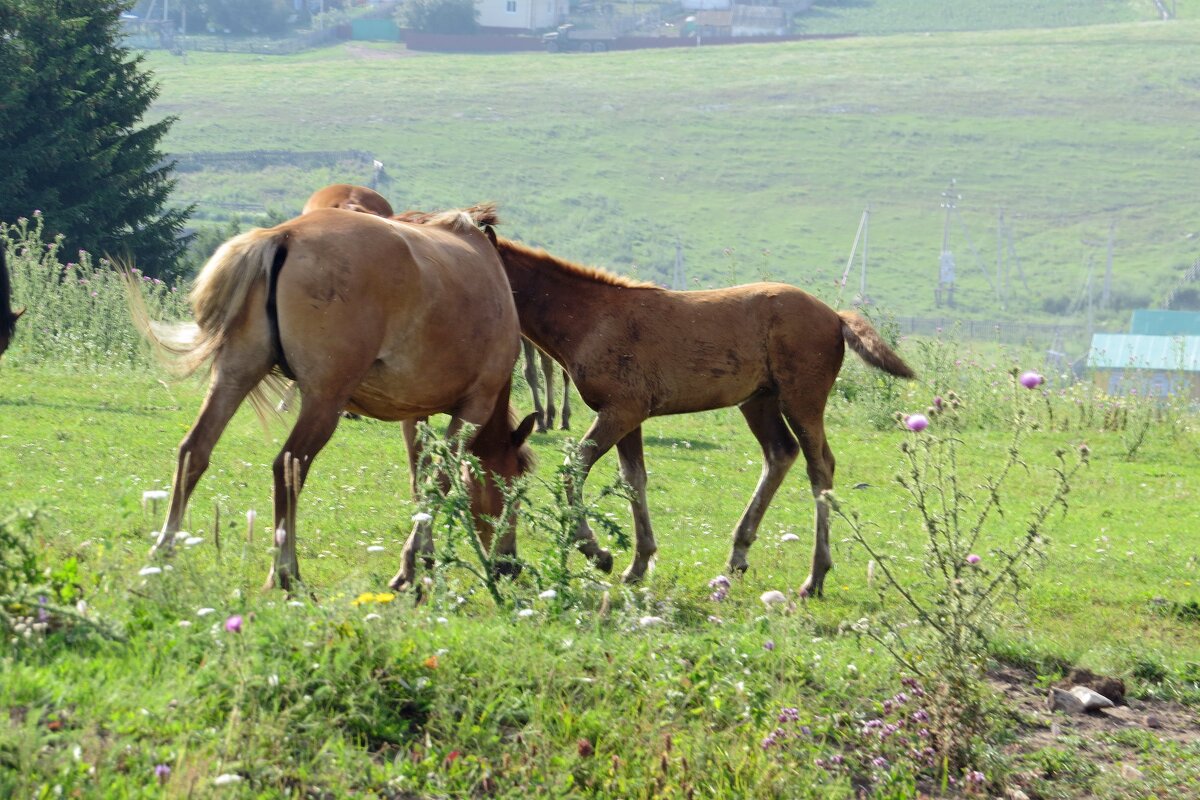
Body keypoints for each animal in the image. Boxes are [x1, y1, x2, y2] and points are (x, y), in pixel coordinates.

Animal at [127, 209, 535, 592]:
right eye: (514, 491)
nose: (510, 566)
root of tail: (282, 235)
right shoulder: (473, 409)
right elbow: (440, 482)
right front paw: (411, 565)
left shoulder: (413, 414)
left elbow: (420, 481)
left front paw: (422, 560)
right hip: (324, 403)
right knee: (288, 467)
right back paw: (286, 572)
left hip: (235, 375)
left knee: (195, 451)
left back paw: (162, 553)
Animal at [436, 203, 912, 597]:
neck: (590, 317)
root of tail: (834, 316)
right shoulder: (629, 414)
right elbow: (633, 479)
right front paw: (637, 564)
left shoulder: (622, 410)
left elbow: (574, 468)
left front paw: (596, 551)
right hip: (758, 401)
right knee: (780, 453)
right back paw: (738, 555)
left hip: (802, 398)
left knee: (820, 467)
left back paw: (814, 578)